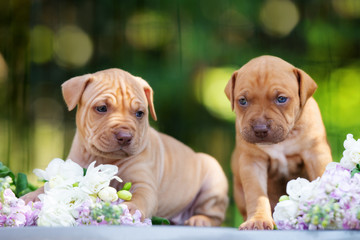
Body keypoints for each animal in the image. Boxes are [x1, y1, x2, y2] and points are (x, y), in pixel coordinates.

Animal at [25, 68, 229, 226]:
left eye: (139, 113)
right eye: (101, 108)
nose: (125, 136)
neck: (104, 157)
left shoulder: (144, 184)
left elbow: (140, 197)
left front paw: (130, 208)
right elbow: (51, 186)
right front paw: (33, 196)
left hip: (213, 178)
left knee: (214, 214)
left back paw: (200, 219)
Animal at [225, 56, 332, 231]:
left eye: (281, 99)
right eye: (243, 101)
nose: (260, 129)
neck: (283, 141)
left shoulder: (315, 153)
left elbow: (323, 176)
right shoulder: (252, 161)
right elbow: (257, 195)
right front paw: (257, 220)